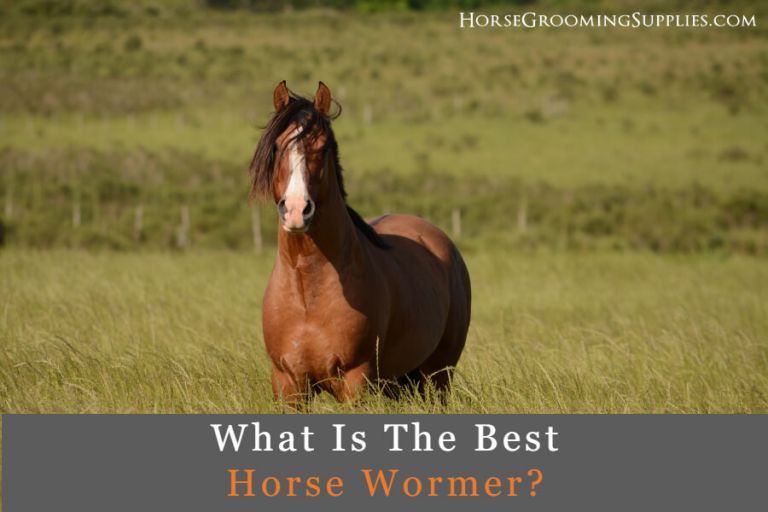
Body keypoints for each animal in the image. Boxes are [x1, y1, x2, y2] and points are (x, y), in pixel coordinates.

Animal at [249, 80, 471, 405]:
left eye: (323, 148)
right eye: (277, 147)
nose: (296, 209)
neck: (307, 295)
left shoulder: (357, 381)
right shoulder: (288, 385)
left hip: (438, 376)